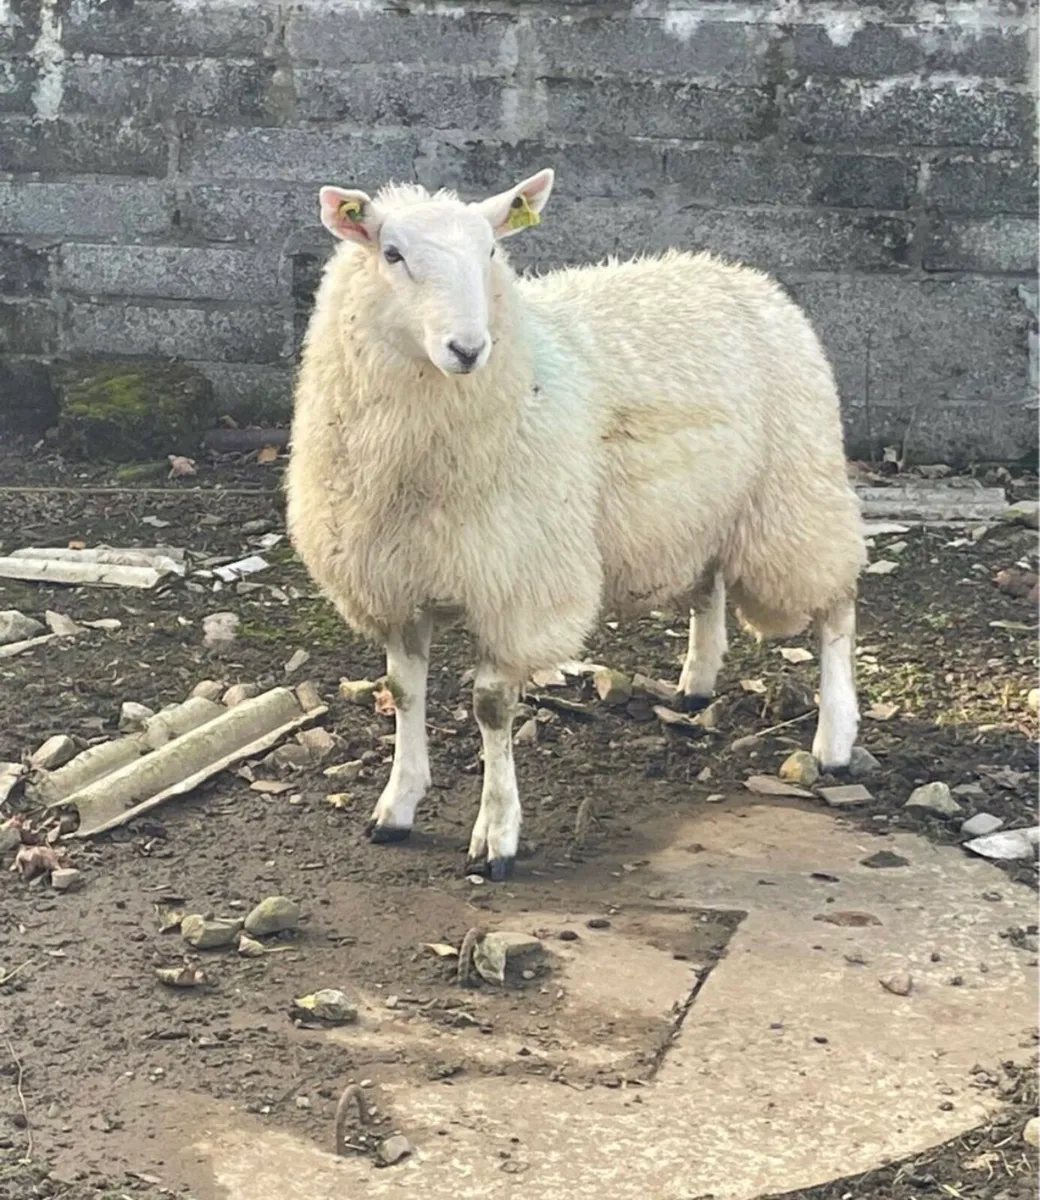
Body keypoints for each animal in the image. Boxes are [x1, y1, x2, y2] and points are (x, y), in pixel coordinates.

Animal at [285, 168, 867, 881]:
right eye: (391, 254)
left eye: (491, 252)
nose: (467, 349)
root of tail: (738, 272)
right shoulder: (394, 580)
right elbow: (402, 690)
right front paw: (396, 806)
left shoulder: (519, 584)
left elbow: (490, 708)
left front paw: (496, 835)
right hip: (697, 507)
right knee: (707, 587)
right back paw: (696, 685)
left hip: (794, 494)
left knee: (836, 605)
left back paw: (835, 738)